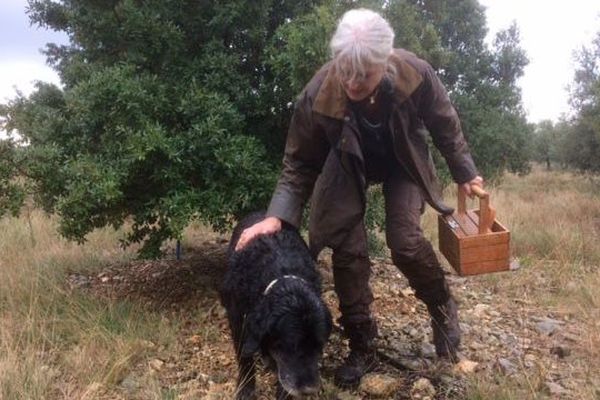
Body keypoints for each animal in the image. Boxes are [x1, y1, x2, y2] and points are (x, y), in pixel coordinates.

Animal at [220, 211, 332, 398]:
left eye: (319, 345)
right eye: (292, 346)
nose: (309, 391)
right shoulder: (237, 319)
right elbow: (244, 356)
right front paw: (246, 389)